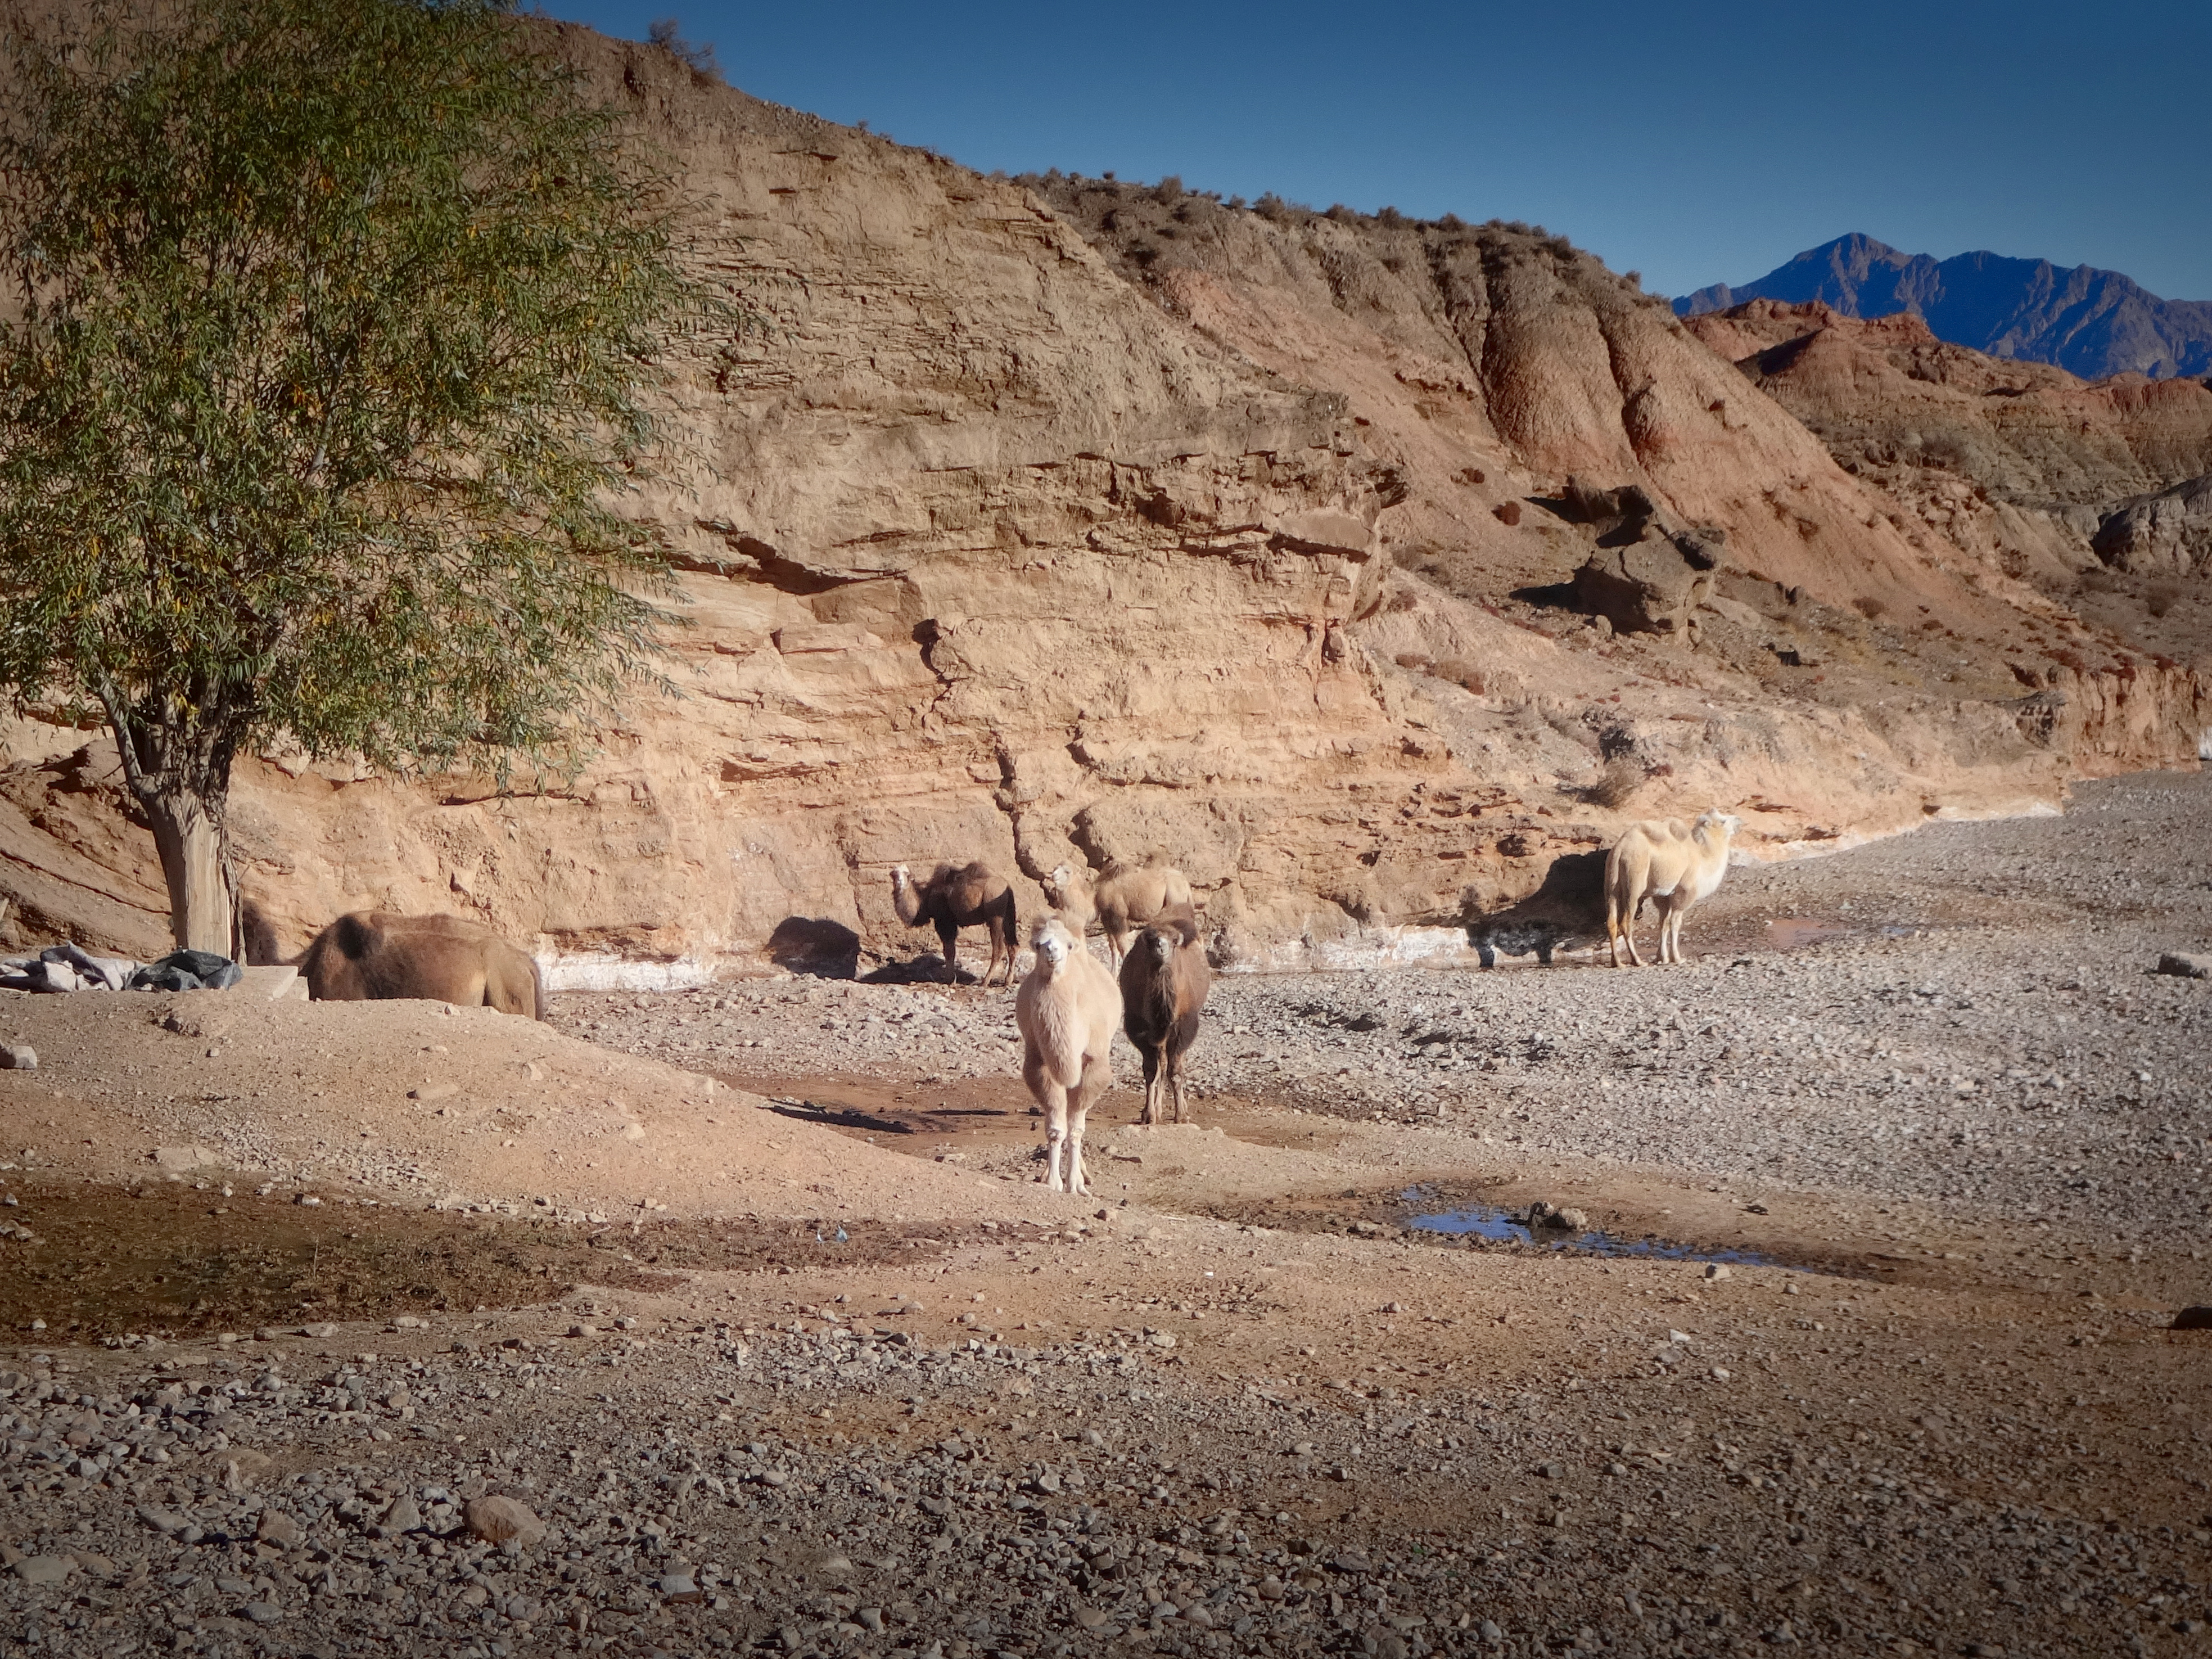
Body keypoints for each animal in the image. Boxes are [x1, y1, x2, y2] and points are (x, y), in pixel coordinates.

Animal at [889, 858, 1017, 986]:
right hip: (1009, 916)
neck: (925, 898)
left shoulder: (944, 921)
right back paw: (1008, 980)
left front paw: (949, 979)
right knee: (1013, 946)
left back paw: (985, 981)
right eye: (894, 874)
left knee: (999, 948)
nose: (900, 882)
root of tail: (1007, 886)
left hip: (995, 915)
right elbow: (951, 951)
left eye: (907, 874)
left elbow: (949, 951)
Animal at [1017, 925, 1123, 1194]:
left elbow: (1076, 1129)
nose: (1052, 951)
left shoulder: (1095, 1063)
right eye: (1038, 944)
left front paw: (1075, 1184)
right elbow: (1056, 1128)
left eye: (1068, 945)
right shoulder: (1039, 1062)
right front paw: (1053, 1182)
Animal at [1048, 863, 1194, 968]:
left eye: (1067, 871)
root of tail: (1185, 882)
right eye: (1055, 868)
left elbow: (1123, 947)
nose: (1053, 876)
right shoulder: (1107, 919)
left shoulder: (1119, 916)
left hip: (1174, 900)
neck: (1096, 896)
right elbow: (1113, 948)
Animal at [1610, 814, 1742, 968]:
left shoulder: (1663, 896)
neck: (1702, 858)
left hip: (1612, 883)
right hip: (1635, 881)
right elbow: (1675, 924)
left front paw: (1662, 958)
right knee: (1626, 923)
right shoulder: (1683, 893)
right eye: (1723, 821)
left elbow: (1663, 924)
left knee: (1611, 922)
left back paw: (1617, 962)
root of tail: (1621, 848)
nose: (1739, 820)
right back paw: (1638, 961)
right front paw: (1677, 958)